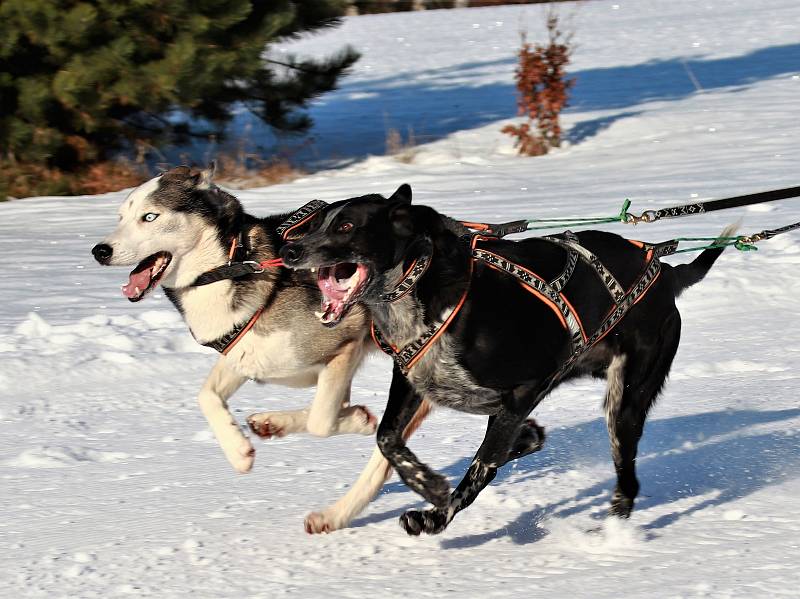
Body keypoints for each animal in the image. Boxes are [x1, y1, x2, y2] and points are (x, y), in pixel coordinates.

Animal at [90, 165, 432, 536]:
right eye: (121, 217)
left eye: (149, 217)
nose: (100, 250)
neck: (230, 266)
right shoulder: (247, 356)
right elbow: (207, 396)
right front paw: (238, 450)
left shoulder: (345, 346)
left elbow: (321, 420)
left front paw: (355, 419)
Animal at [280, 185, 732, 536]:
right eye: (315, 223)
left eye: (345, 227)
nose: (290, 248)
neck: (426, 288)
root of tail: (667, 271)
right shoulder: (413, 380)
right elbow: (387, 438)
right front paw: (425, 482)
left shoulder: (527, 388)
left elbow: (482, 465)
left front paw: (436, 513)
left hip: (625, 402)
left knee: (626, 479)